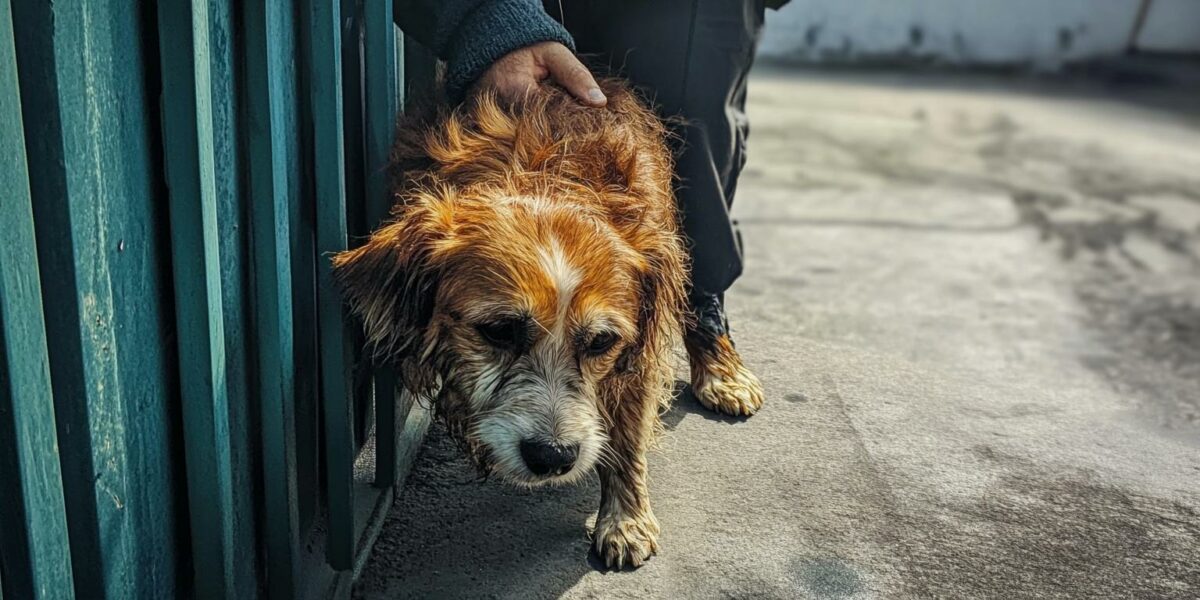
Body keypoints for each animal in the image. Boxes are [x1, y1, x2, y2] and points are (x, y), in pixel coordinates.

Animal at [331, 78, 758, 566]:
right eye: (499, 330)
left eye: (601, 342)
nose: (553, 456)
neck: (546, 170)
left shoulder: (638, 351)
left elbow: (628, 433)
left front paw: (625, 519)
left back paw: (723, 373)